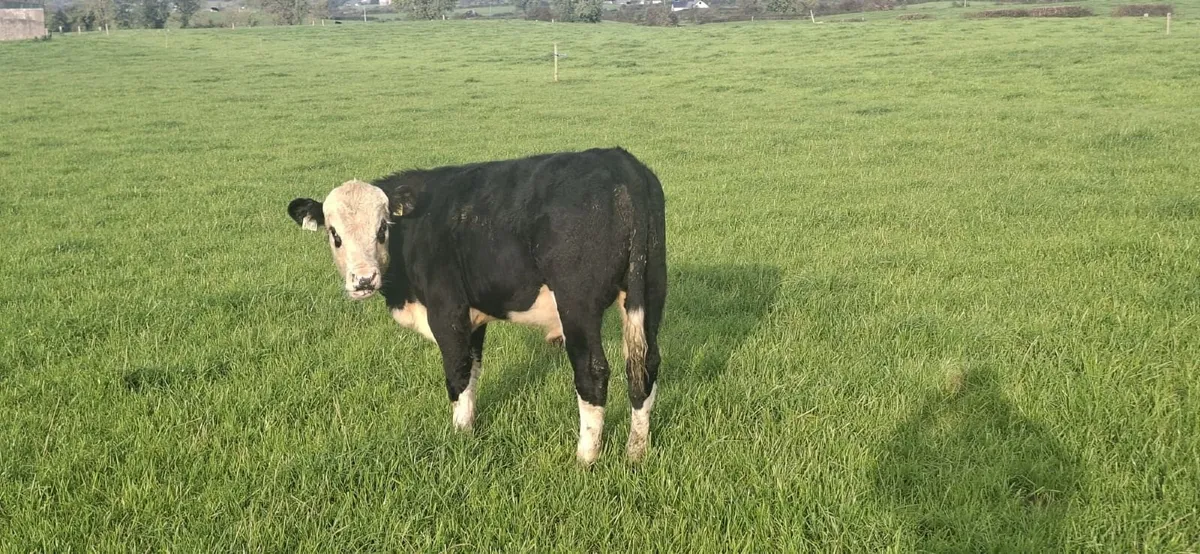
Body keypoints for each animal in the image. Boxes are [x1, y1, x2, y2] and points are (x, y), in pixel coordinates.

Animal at [286, 147, 667, 465]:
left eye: (382, 228)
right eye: (334, 234)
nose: (364, 280)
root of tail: (618, 163)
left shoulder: (447, 310)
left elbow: (457, 371)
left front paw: (459, 435)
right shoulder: (473, 317)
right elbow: (473, 369)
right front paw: (469, 425)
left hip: (577, 303)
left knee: (592, 372)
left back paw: (586, 457)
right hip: (650, 289)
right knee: (644, 365)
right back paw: (637, 451)